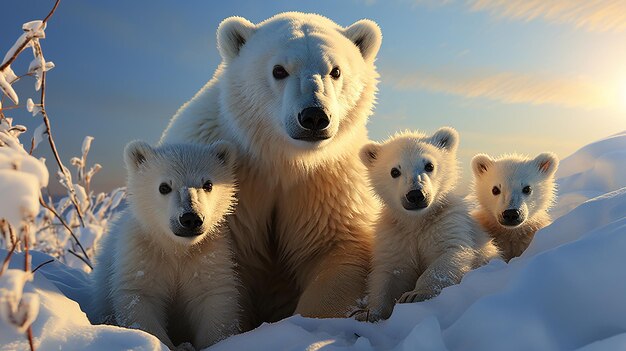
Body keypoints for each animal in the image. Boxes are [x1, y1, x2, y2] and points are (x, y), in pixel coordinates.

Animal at [158, 11, 380, 330]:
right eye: (279, 70)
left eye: (335, 71)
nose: (314, 116)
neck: (282, 159)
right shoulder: (231, 176)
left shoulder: (329, 181)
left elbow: (336, 250)